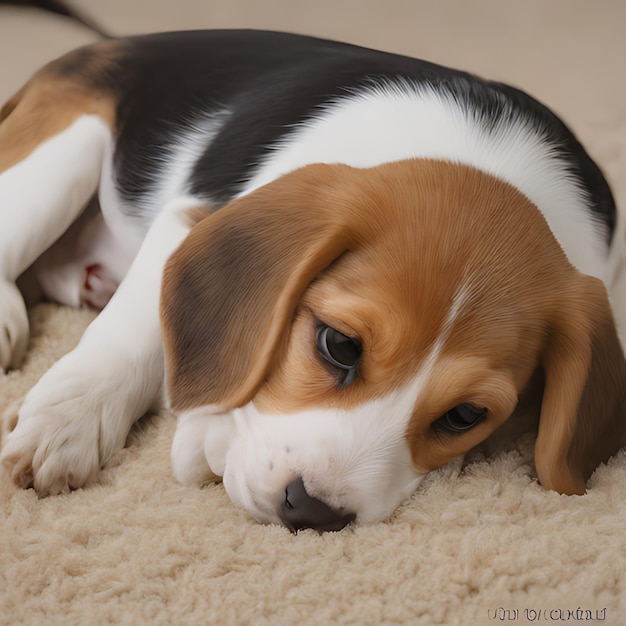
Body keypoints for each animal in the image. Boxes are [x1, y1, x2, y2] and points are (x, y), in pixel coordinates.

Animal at [1, 25, 624, 532]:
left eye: (465, 416)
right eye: (339, 345)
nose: (313, 512)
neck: (481, 158)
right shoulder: (190, 216)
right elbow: (125, 338)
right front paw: (66, 424)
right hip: (63, 152)